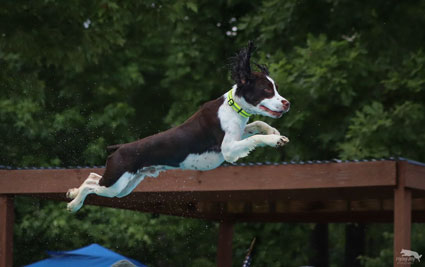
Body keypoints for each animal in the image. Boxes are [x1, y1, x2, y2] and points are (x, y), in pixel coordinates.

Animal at [67, 42, 292, 214]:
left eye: (276, 89)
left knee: (92, 177)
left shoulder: (238, 133)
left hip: (124, 186)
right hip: (117, 184)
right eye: (267, 90)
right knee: (91, 184)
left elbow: (256, 125)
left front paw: (273, 132)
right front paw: (275, 139)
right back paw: (73, 204)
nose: (287, 103)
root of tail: (119, 148)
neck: (232, 106)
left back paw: (72, 192)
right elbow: (254, 138)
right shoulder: (228, 150)